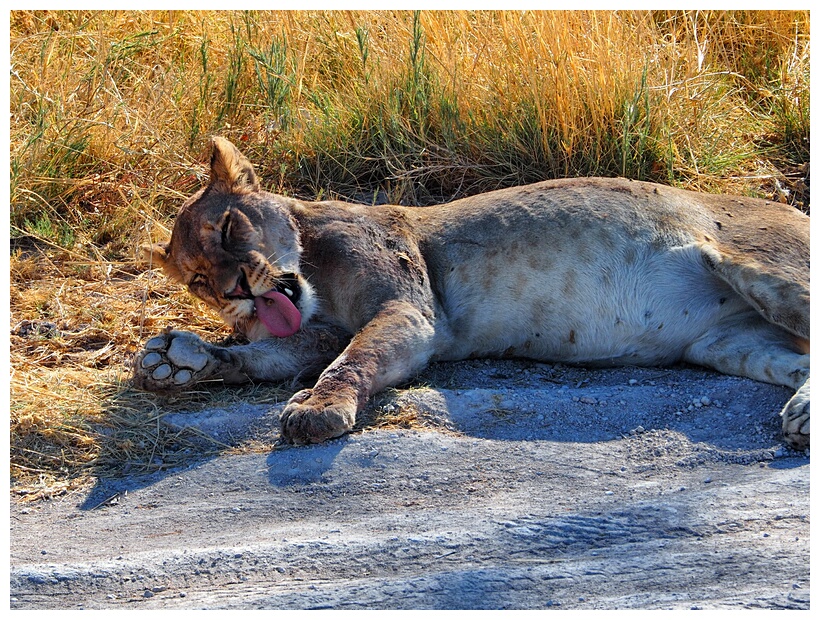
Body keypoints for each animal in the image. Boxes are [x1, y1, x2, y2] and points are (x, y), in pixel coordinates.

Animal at [133, 138, 808, 450]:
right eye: (198, 280)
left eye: (228, 228)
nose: (237, 290)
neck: (312, 272)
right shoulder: (315, 332)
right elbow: (262, 357)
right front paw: (177, 360)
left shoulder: (410, 310)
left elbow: (351, 361)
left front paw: (317, 410)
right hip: (731, 343)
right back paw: (802, 415)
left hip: (757, 267)